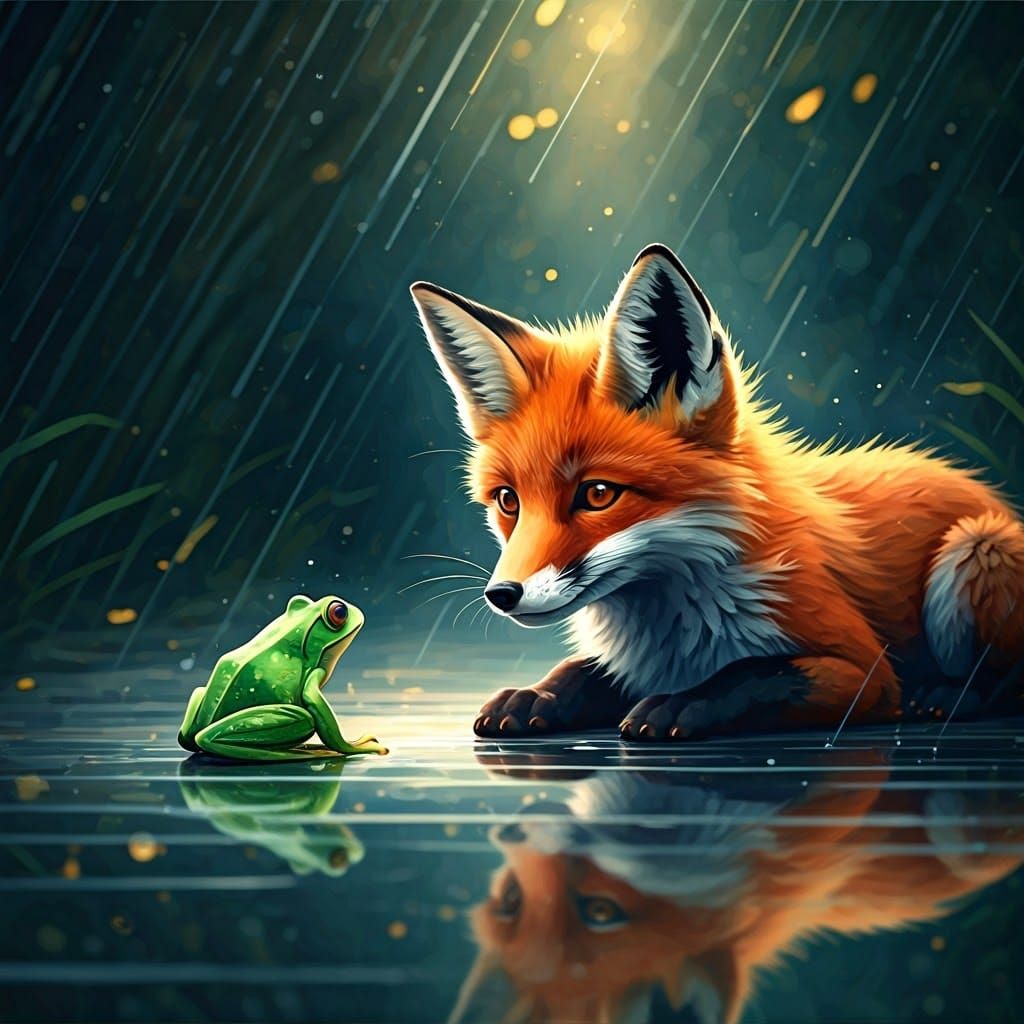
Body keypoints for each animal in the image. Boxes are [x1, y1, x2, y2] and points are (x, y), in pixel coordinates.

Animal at [410, 243, 1024, 741]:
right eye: (508, 501)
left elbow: (753, 674)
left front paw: (683, 705)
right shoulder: (632, 662)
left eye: (598, 494)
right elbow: (581, 671)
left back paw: (950, 695)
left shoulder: (864, 670)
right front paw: (535, 695)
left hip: (976, 548)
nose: (502, 595)